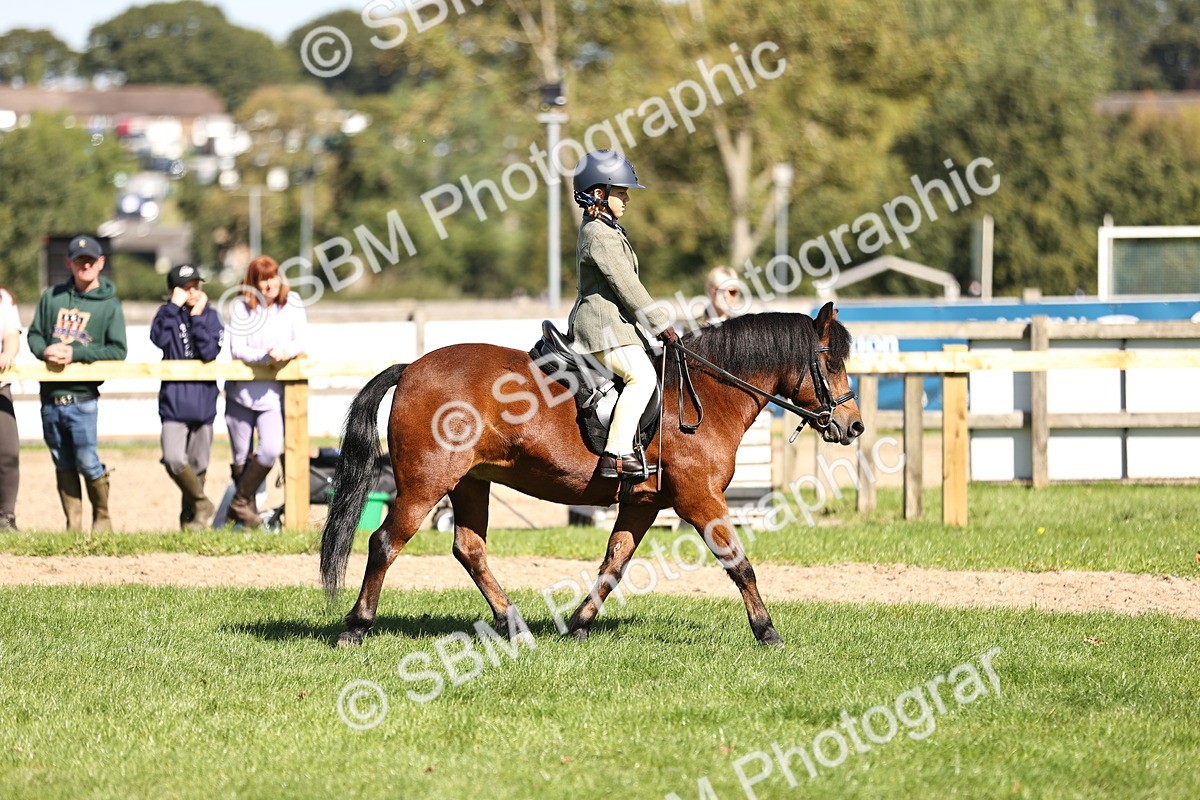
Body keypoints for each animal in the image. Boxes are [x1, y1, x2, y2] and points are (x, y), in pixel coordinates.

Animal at [320, 302, 863, 647]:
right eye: (832, 363)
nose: (854, 425)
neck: (708, 393)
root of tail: (412, 367)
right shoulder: (700, 499)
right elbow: (739, 564)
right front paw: (767, 631)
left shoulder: (642, 503)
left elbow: (613, 564)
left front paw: (578, 624)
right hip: (425, 483)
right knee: (385, 543)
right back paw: (356, 627)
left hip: (471, 481)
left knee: (469, 550)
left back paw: (514, 625)